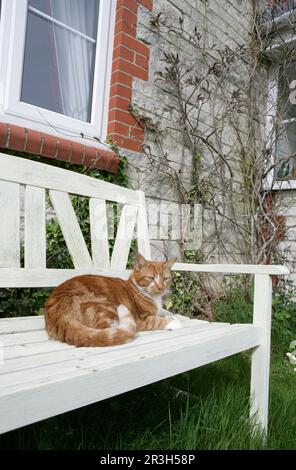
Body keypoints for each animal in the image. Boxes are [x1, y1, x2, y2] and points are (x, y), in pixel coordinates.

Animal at [44, 255, 182, 346]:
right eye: (151, 278)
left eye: (165, 279)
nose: (161, 287)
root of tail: (58, 313)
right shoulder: (140, 319)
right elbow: (157, 320)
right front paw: (174, 321)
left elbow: (164, 312)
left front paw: (171, 314)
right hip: (103, 306)